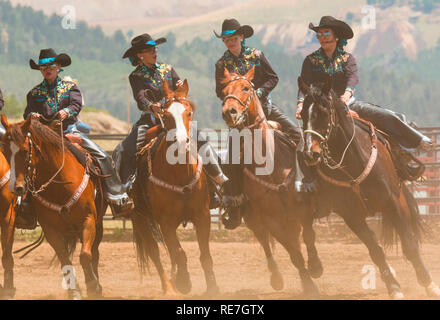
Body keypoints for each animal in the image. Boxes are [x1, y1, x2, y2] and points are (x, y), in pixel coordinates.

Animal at [0, 115, 105, 300]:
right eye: (4, 151)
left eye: (25, 151)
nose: (16, 188)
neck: (61, 184)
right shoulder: (51, 230)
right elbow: (65, 259)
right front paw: (75, 292)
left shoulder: (88, 219)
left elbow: (85, 256)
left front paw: (93, 287)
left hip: (98, 224)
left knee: (94, 252)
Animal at [131, 79, 220, 296]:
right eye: (166, 115)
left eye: (189, 112)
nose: (180, 141)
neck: (180, 176)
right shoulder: (166, 222)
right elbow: (179, 253)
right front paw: (184, 282)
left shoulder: (202, 216)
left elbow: (204, 255)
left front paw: (212, 287)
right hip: (139, 218)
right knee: (154, 251)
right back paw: (169, 287)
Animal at [222, 67, 322, 298]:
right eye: (224, 90)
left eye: (246, 87)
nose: (229, 112)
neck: (271, 164)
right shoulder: (271, 220)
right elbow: (293, 254)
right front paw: (309, 285)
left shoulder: (302, 208)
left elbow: (309, 237)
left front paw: (315, 267)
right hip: (253, 218)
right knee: (265, 242)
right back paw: (276, 278)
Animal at [298, 76, 440, 298]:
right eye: (303, 114)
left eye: (323, 112)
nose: (310, 153)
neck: (352, 161)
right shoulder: (351, 216)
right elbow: (375, 250)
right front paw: (393, 287)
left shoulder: (392, 202)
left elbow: (408, 244)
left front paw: (428, 283)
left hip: (400, 200)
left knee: (410, 235)